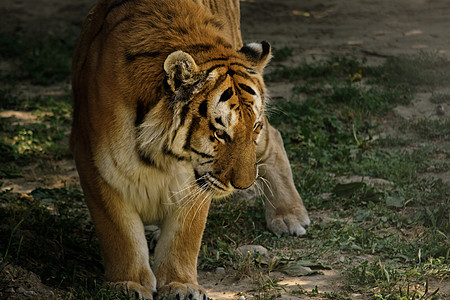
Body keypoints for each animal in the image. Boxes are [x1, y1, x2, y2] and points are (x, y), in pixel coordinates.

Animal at [70, 0, 310, 298]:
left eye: (253, 127)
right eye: (220, 133)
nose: (243, 186)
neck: (160, 155)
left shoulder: (197, 179)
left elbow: (184, 235)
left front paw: (180, 285)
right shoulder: (94, 162)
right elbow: (119, 233)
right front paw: (128, 284)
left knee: (274, 138)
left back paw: (290, 217)